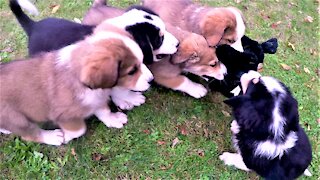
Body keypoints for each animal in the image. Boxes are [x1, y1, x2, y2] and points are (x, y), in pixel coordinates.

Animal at [0, 23, 151, 146]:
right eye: (132, 71)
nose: (151, 79)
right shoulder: (65, 115)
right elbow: (79, 130)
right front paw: (65, 137)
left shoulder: (93, 100)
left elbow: (104, 111)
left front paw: (113, 119)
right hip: (16, 118)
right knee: (30, 135)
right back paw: (52, 137)